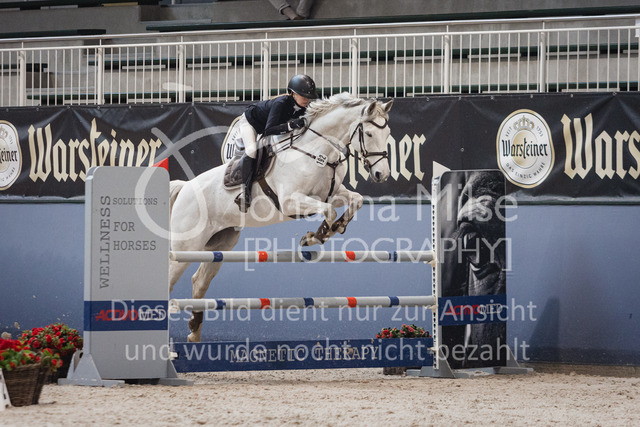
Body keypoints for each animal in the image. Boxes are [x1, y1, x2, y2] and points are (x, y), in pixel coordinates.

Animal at [168, 92, 393, 342]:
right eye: (370, 134)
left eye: (388, 134)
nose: (381, 174)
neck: (318, 152)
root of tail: (185, 187)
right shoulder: (290, 201)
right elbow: (329, 211)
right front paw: (315, 237)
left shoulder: (331, 193)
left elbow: (355, 200)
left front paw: (336, 227)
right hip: (186, 245)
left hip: (220, 245)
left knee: (199, 281)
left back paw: (194, 335)